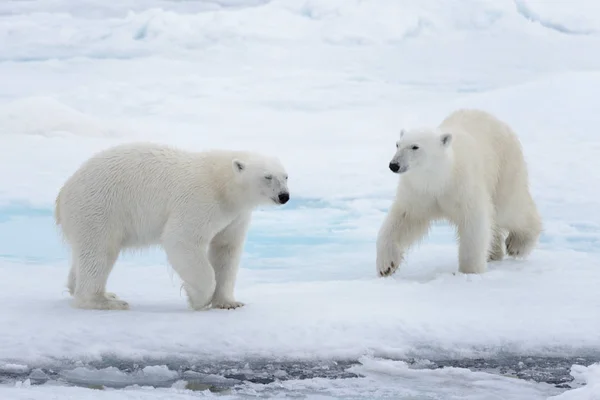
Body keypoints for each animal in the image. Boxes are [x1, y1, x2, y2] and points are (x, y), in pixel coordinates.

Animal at [55, 142, 290, 310]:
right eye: (267, 177)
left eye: (286, 176)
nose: (284, 196)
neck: (222, 183)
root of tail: (63, 192)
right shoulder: (200, 200)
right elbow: (182, 239)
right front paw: (197, 298)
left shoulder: (235, 215)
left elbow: (226, 249)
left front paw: (228, 302)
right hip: (100, 208)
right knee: (100, 252)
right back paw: (105, 301)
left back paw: (97, 291)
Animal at [378, 109, 540, 278]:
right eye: (397, 144)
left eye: (415, 147)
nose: (394, 165)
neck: (441, 177)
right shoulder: (419, 192)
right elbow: (403, 219)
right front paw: (386, 265)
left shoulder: (462, 187)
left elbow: (473, 222)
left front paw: (470, 271)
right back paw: (494, 253)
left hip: (505, 167)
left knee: (509, 208)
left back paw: (517, 244)